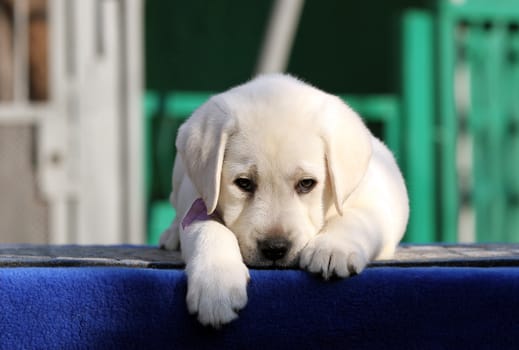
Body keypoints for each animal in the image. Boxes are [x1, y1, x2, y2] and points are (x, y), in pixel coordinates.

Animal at [160, 74, 408, 328]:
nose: (275, 248)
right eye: (244, 183)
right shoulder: (198, 199)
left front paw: (332, 248)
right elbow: (208, 228)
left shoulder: (376, 199)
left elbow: (354, 218)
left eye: (307, 183)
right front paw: (216, 282)